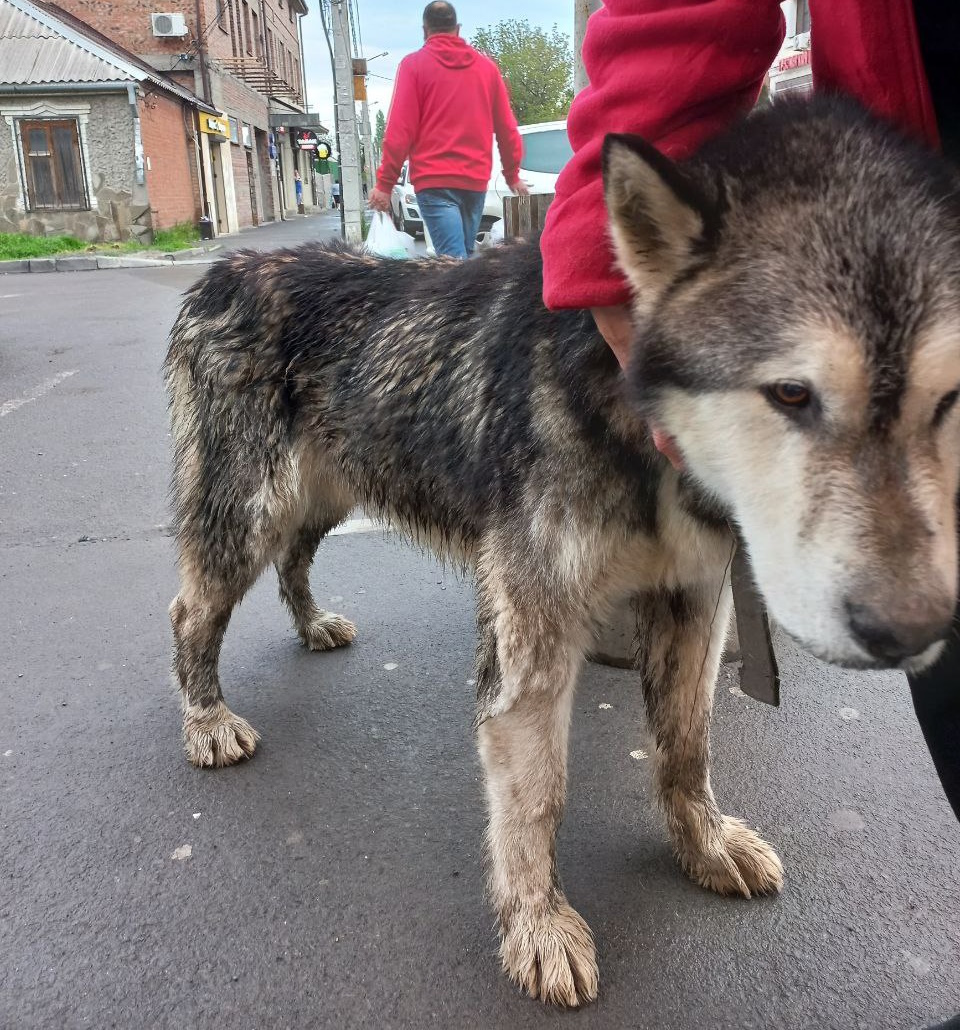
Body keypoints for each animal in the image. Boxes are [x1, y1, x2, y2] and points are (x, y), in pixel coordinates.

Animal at [162, 100, 960, 1009]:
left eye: (946, 399)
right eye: (791, 392)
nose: (913, 632)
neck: (621, 405)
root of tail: (227, 269)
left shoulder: (694, 599)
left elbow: (688, 744)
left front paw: (703, 845)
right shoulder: (533, 635)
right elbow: (535, 795)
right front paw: (538, 925)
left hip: (324, 490)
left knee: (295, 558)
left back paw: (311, 624)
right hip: (247, 509)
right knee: (192, 609)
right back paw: (206, 718)